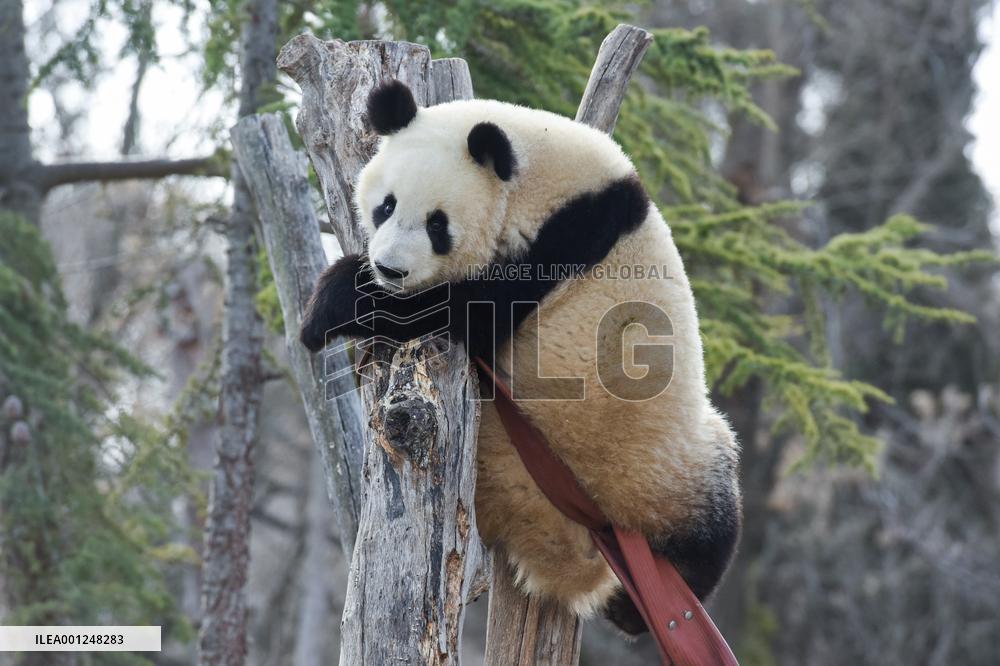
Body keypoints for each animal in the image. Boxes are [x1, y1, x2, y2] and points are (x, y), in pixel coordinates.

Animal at [300, 80, 742, 635]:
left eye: (437, 224)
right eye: (385, 206)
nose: (389, 269)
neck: (532, 177)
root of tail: (572, 554)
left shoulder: (564, 241)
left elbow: (462, 314)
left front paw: (331, 303)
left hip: (665, 463)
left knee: (710, 523)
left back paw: (643, 606)